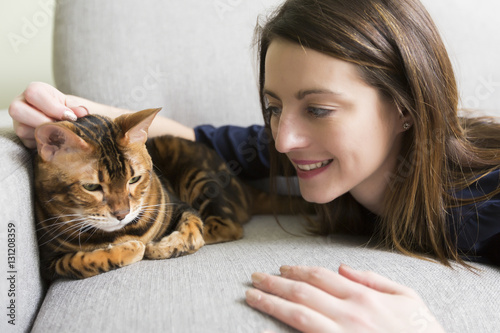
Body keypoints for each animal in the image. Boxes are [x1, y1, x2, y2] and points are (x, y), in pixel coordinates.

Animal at [33, 107, 280, 278]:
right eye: (92, 187)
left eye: (134, 179)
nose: (121, 214)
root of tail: (242, 185)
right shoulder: (48, 261)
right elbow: (78, 261)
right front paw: (129, 249)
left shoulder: (180, 205)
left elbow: (192, 230)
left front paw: (160, 246)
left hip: (200, 177)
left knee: (228, 226)